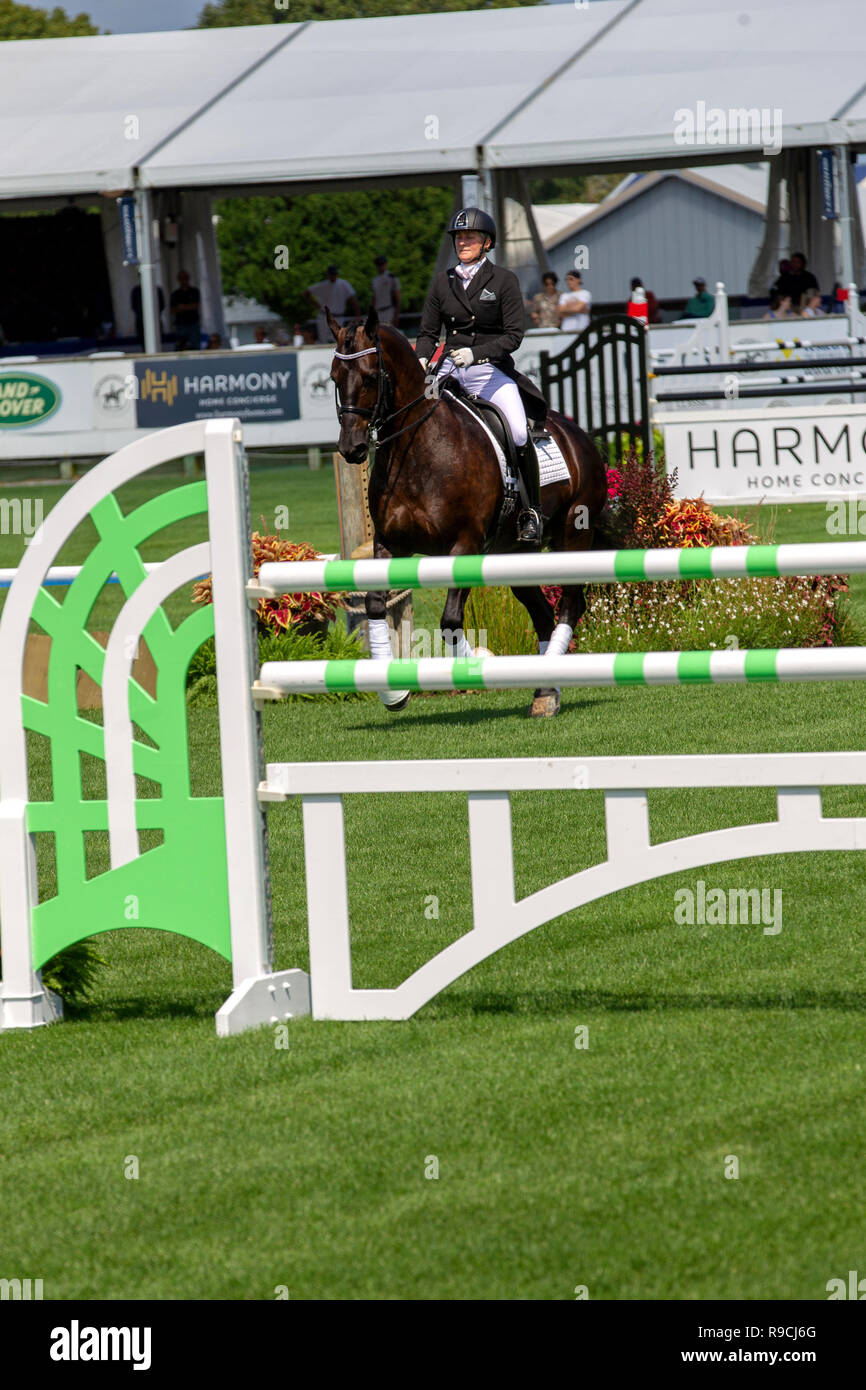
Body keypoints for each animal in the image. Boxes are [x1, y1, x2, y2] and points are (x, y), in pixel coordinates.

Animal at [326, 304, 608, 717]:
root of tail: (580, 436)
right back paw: (545, 692)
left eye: (371, 376)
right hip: (515, 554)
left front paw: (477, 663)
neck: (418, 450)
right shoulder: (389, 544)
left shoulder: (465, 545)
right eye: (334, 376)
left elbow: (449, 619)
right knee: (542, 614)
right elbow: (376, 604)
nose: (352, 448)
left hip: (573, 534)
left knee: (570, 604)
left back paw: (549, 688)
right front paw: (394, 693)